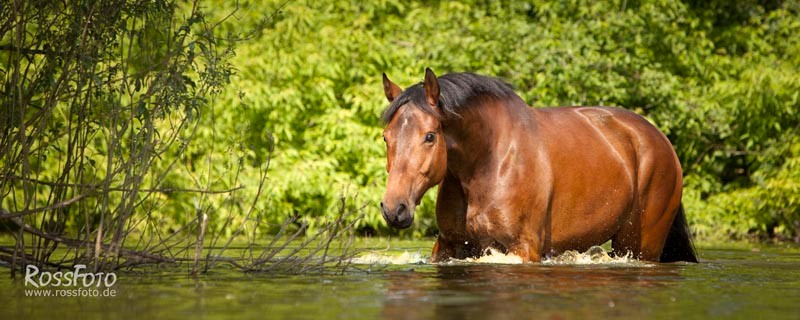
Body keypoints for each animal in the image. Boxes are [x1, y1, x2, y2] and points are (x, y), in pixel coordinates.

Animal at [378, 67, 696, 262]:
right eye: (386, 136)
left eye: (430, 136)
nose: (394, 209)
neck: (489, 162)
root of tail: (661, 141)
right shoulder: (450, 246)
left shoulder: (523, 248)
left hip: (639, 245)